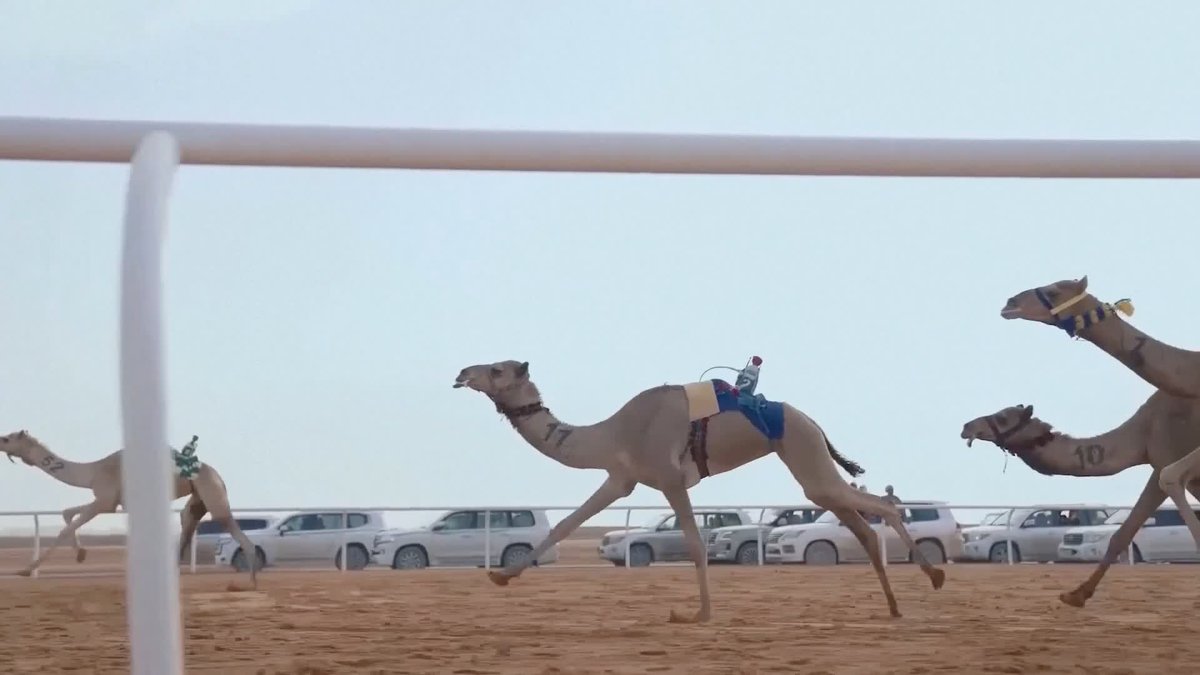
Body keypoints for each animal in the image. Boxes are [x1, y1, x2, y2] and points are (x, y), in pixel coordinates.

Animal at [0, 430, 258, 587]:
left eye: (8, 439)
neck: (94, 472)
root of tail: (219, 477)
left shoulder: (104, 500)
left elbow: (66, 527)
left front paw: (26, 569)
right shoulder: (110, 503)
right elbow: (67, 513)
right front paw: (81, 553)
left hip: (212, 494)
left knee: (237, 533)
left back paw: (252, 582)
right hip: (197, 499)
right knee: (187, 523)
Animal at [454, 360, 945, 623]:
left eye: (497, 369)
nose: (461, 373)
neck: (613, 433)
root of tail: (813, 421)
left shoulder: (669, 477)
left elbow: (693, 541)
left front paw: (698, 614)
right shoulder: (620, 479)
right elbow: (568, 524)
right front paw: (501, 576)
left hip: (803, 450)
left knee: (880, 504)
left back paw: (934, 577)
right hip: (810, 467)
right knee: (859, 520)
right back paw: (895, 606)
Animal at [959, 400, 1200, 607]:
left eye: (1002, 418)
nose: (967, 426)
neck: (1141, 434)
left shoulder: (1167, 456)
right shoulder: (1162, 465)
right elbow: (1121, 535)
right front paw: (1076, 594)